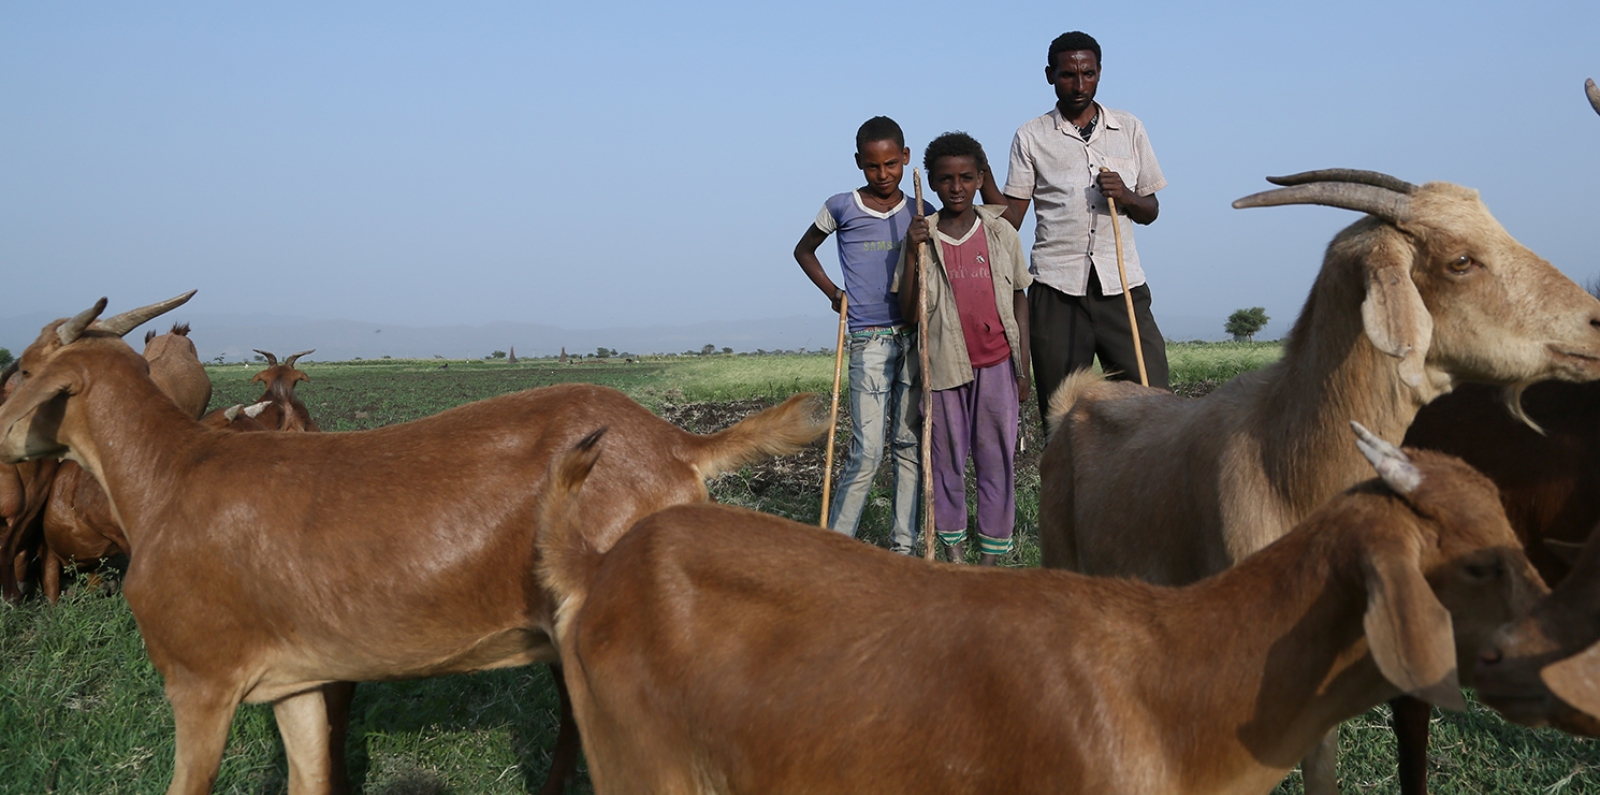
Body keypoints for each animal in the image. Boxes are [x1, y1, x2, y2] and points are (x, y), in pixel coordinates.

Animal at [0, 291, 825, 793]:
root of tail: (682, 446)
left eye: (26, 366)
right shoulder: (296, 680)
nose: (0, 428)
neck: (170, 472)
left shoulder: (199, 678)